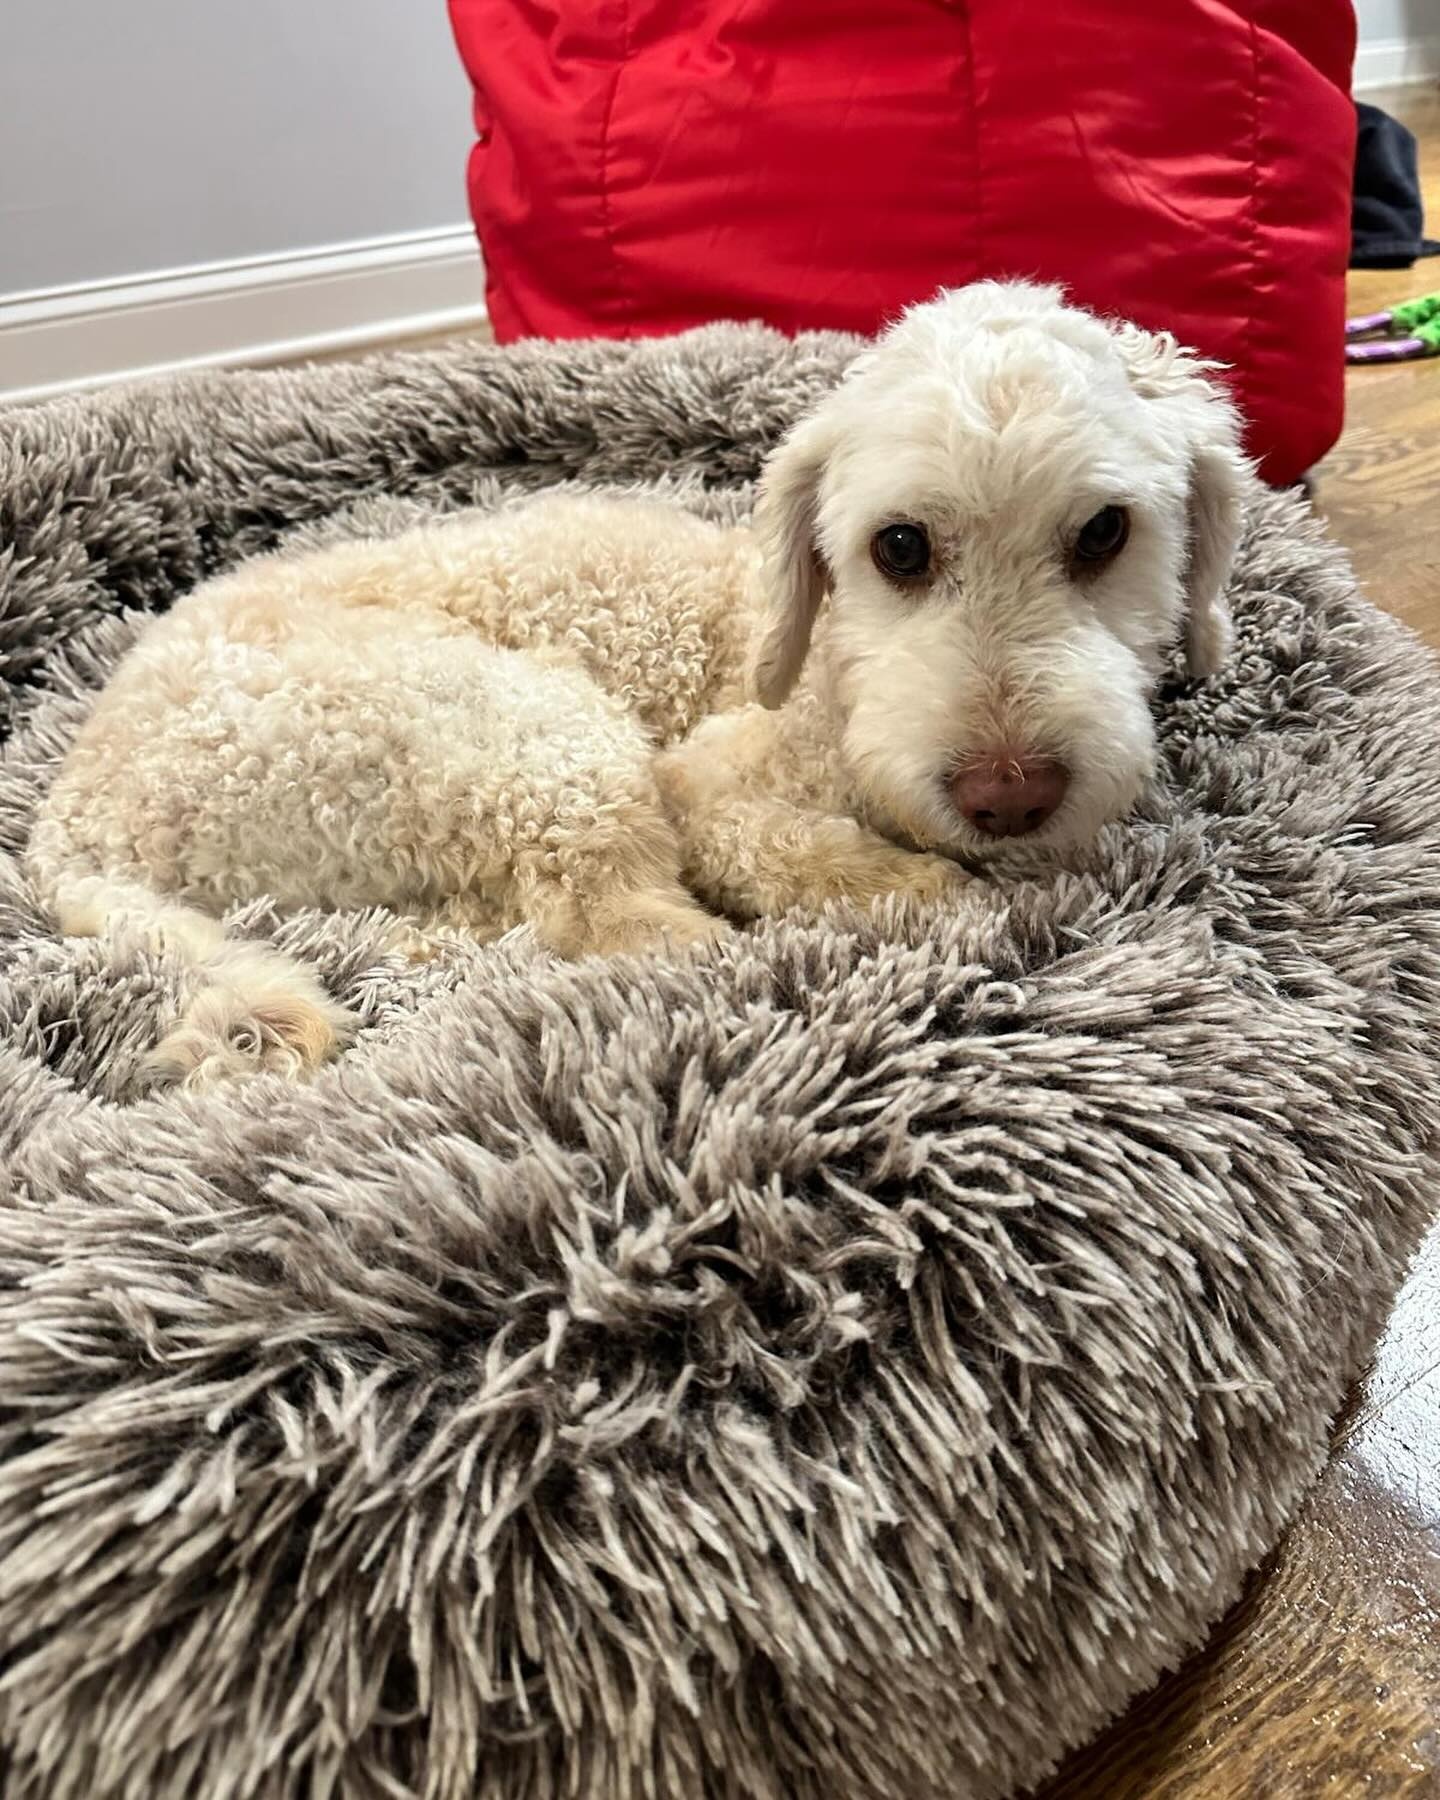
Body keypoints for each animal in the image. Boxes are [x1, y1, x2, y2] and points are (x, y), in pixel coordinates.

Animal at [28, 280, 1245, 1080]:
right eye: (899, 548)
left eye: (1104, 532)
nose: (1010, 794)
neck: (822, 659)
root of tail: (72, 806)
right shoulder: (707, 784)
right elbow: (798, 849)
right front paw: (937, 892)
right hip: (527, 728)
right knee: (610, 926)